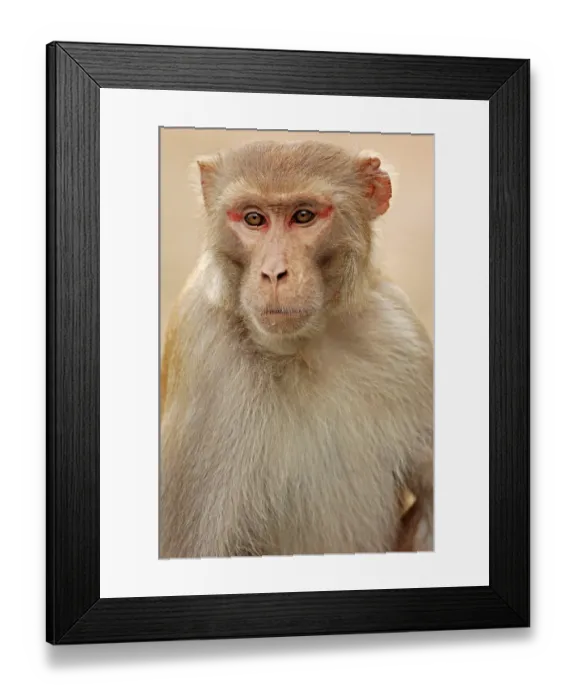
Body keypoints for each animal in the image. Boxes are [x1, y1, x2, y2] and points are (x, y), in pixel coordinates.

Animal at [159, 140, 433, 559]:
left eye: (303, 216)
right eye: (254, 219)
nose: (274, 273)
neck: (301, 349)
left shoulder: (403, 335)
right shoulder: (204, 353)